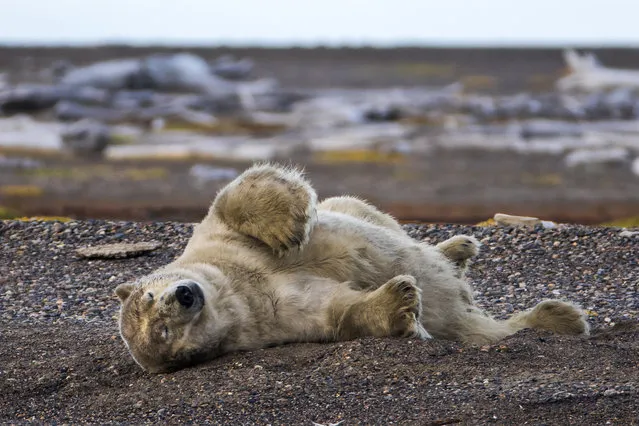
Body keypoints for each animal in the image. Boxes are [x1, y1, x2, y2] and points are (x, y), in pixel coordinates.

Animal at [115, 163, 592, 372]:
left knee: (366, 211)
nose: (185, 295)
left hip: (358, 209)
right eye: (163, 333)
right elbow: (337, 311)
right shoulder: (274, 318)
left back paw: (458, 248)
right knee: (486, 329)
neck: (235, 288)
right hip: (468, 326)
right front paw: (399, 302)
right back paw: (560, 318)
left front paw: (288, 226)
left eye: (150, 295)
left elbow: (233, 201)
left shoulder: (213, 246)